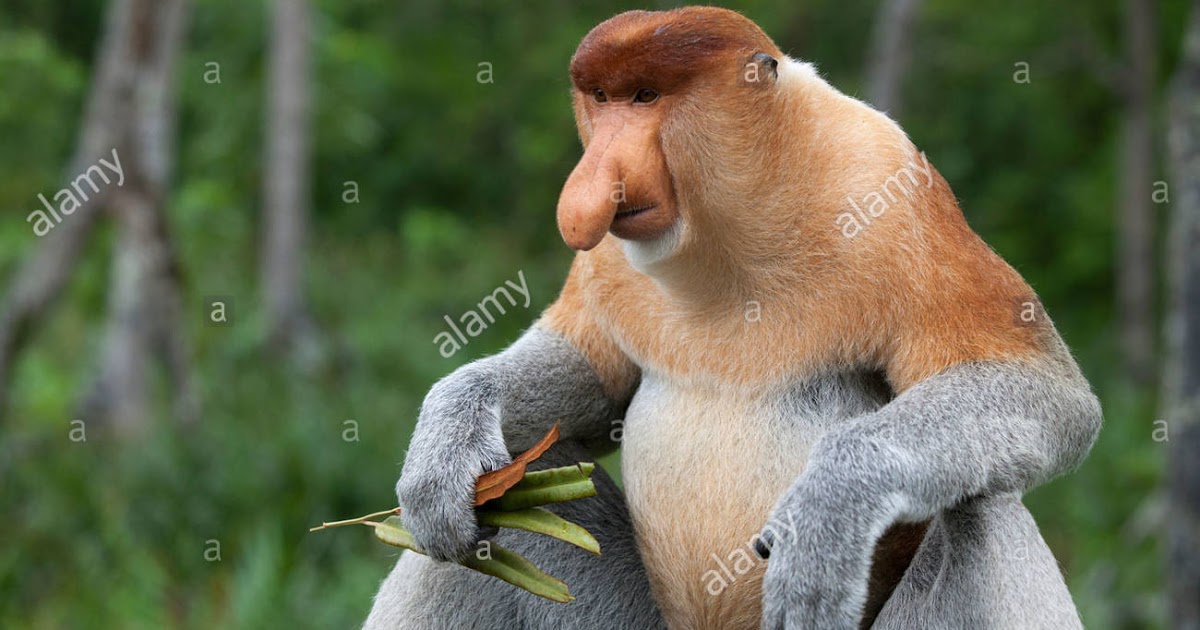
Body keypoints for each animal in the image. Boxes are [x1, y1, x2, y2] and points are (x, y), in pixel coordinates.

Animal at [364, 7, 1102, 630]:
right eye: (600, 99)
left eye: (645, 97)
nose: (589, 188)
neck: (728, 233)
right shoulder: (610, 263)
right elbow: (594, 380)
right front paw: (443, 444)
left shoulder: (892, 187)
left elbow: (1048, 390)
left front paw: (826, 521)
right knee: (511, 495)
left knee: (981, 510)